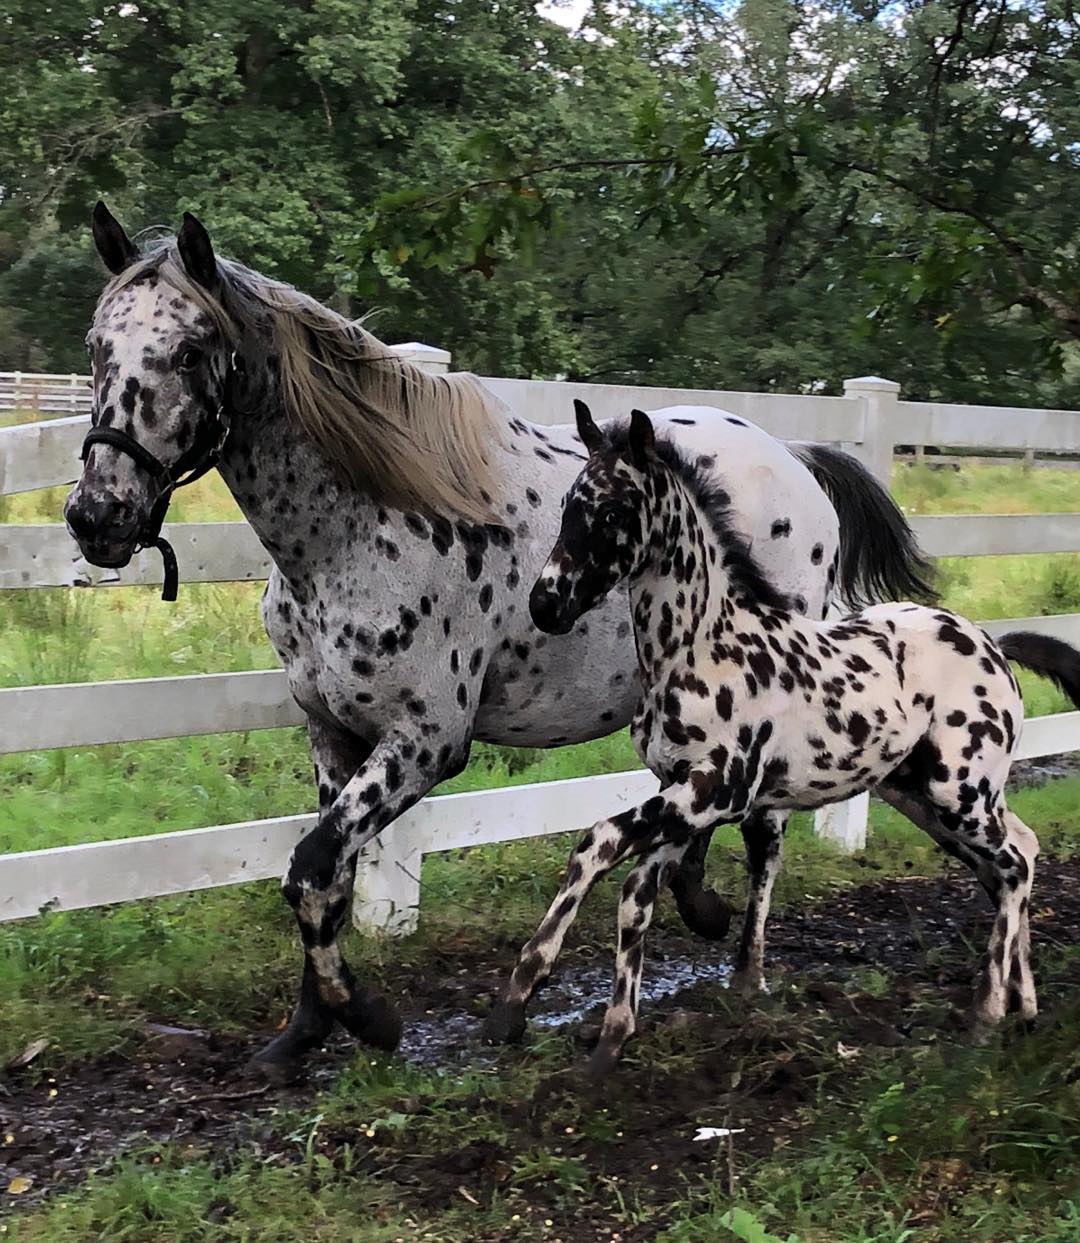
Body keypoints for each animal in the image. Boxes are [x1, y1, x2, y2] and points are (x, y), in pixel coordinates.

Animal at [487, 402, 1078, 1073]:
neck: (700, 646)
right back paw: (1024, 1007)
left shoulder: (717, 791)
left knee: (1012, 865)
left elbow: (597, 843)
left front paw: (518, 998)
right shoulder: (679, 792)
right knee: (1015, 857)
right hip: (927, 797)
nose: (546, 604)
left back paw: (987, 1014)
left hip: (961, 794)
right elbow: (638, 892)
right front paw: (611, 1034)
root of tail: (994, 647)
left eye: (613, 511)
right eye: (567, 504)